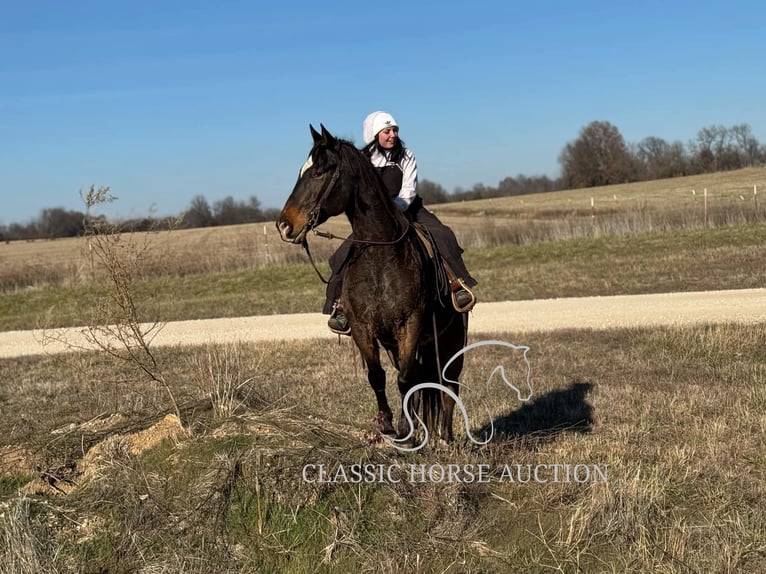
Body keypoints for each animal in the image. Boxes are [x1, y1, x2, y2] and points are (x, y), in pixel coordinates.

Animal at [276, 124, 468, 444]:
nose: (284, 225)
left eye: (318, 172)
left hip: (451, 340)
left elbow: (405, 380)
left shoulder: (410, 325)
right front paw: (388, 424)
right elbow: (378, 377)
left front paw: (405, 429)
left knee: (448, 385)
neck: (381, 254)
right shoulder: (363, 329)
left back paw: (446, 437)